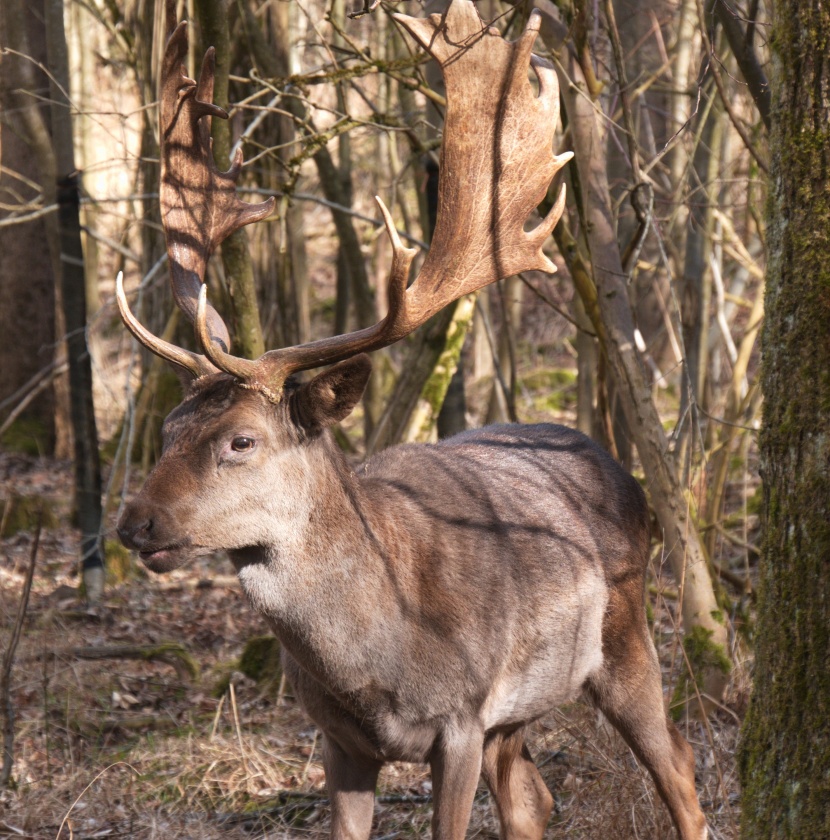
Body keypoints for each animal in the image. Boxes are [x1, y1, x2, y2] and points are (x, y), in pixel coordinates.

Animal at [115, 3, 708, 836]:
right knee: (532, 797)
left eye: (241, 440)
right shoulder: (339, 738)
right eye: (168, 429)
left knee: (678, 766)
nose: (135, 521)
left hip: (624, 634)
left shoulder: (459, 718)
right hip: (516, 712)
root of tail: (622, 471)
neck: (376, 660)